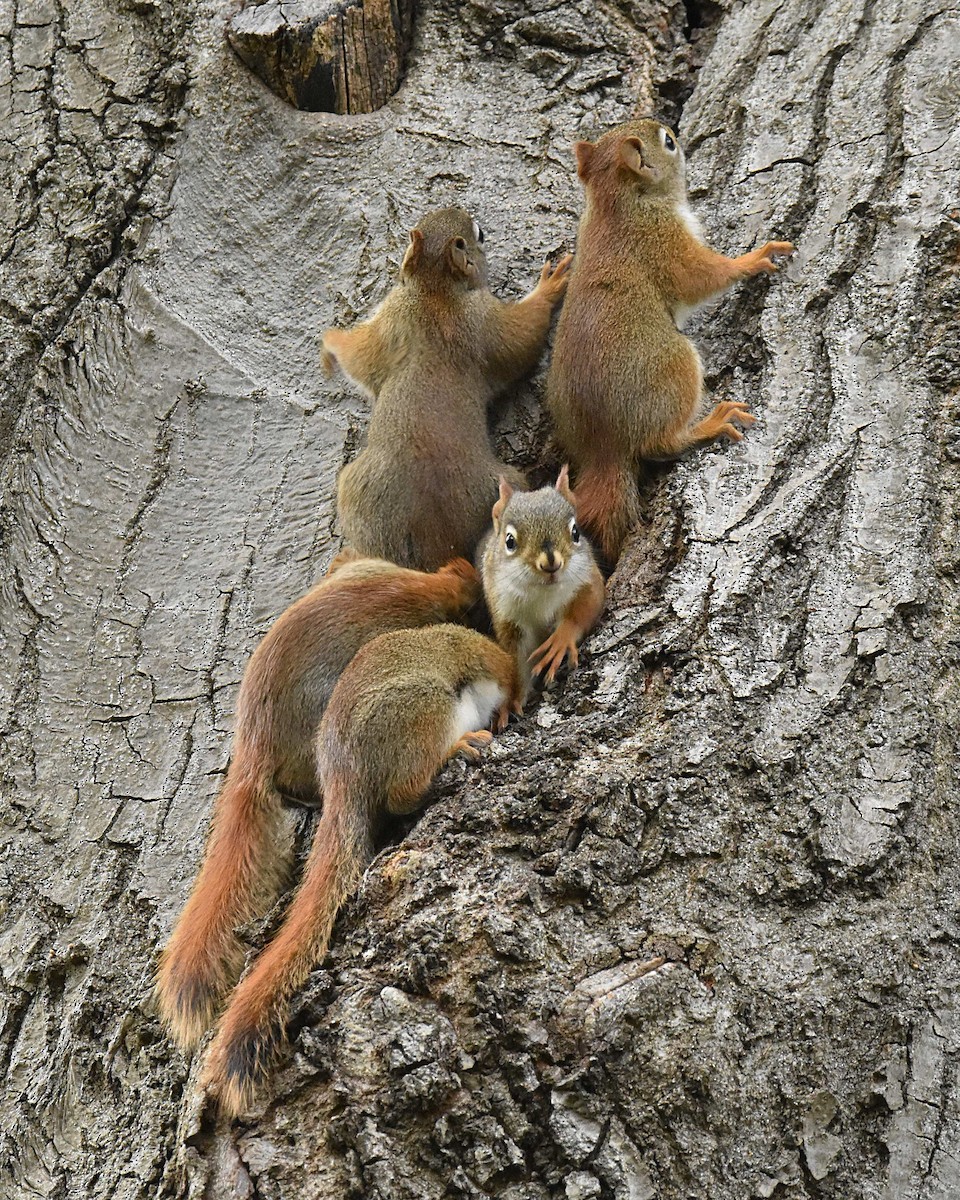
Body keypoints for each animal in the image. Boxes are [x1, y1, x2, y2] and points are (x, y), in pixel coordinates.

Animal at [201, 622, 520, 1117]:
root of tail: (342, 778)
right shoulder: (475, 650)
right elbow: (503, 665)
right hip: (420, 709)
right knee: (403, 792)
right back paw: (455, 753)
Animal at [322, 206, 573, 571]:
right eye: (479, 234)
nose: (460, 208)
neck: (435, 291)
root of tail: (439, 549)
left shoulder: (397, 319)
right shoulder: (475, 318)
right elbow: (520, 336)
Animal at [479, 465, 605, 702]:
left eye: (576, 532)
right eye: (509, 541)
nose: (550, 563)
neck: (542, 592)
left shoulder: (587, 580)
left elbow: (585, 608)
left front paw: (561, 640)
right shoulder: (508, 617)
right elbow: (517, 662)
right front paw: (511, 701)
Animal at [545, 117, 795, 563]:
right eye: (669, 142)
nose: (677, 130)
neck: (615, 204)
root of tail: (604, 447)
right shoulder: (662, 240)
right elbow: (701, 276)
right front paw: (753, 259)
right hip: (674, 366)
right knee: (659, 443)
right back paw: (710, 423)